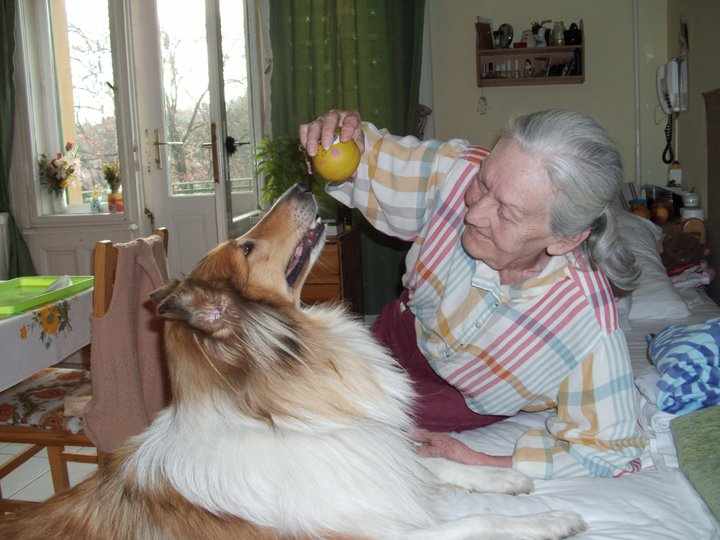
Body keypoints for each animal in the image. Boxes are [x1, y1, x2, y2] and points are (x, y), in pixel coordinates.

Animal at [0, 184, 587, 539]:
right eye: (246, 246)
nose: (304, 187)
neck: (275, 414)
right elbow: (479, 524)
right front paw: (550, 519)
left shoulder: (370, 461)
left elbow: (434, 464)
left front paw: (505, 479)